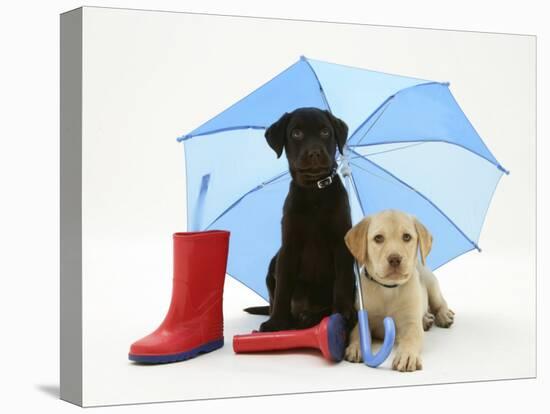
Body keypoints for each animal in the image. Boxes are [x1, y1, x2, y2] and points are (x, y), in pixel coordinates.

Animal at [344, 210, 458, 372]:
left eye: (407, 237)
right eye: (378, 238)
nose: (395, 259)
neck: (388, 289)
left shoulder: (411, 324)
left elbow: (411, 338)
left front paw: (407, 355)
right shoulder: (361, 317)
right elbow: (357, 333)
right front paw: (356, 347)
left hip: (431, 284)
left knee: (440, 303)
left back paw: (443, 315)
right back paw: (426, 319)